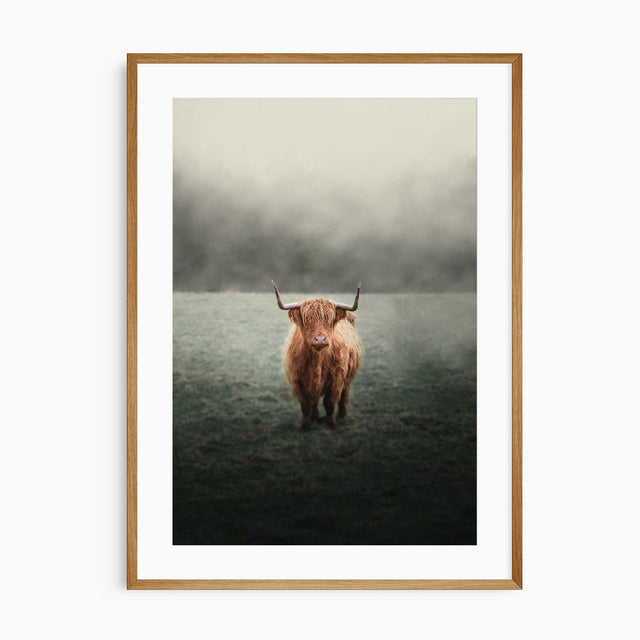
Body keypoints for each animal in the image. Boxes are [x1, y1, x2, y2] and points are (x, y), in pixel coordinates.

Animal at [272, 281, 364, 431]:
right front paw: (306, 424)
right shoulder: (299, 381)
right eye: (307, 320)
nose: (320, 339)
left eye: (330, 320)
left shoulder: (336, 379)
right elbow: (306, 404)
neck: (317, 360)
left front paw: (331, 422)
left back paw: (343, 415)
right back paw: (315, 416)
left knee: (344, 395)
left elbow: (330, 402)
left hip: (349, 376)